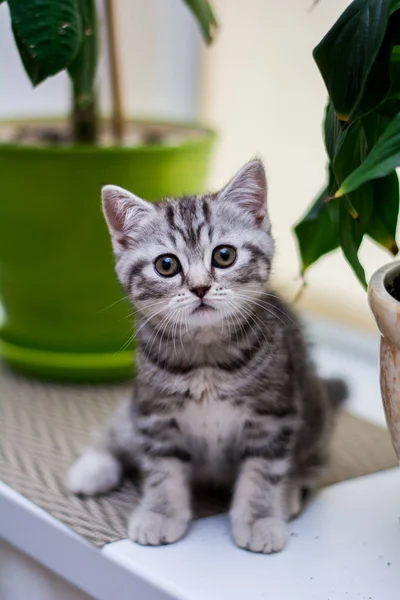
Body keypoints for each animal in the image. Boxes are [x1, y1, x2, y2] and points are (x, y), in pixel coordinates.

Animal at [67, 159, 346, 552]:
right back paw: (91, 468)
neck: (205, 358)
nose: (200, 287)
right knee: (118, 430)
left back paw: (291, 492)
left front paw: (259, 518)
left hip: (316, 417)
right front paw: (160, 512)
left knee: (311, 463)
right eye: (166, 265)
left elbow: (262, 473)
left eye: (224, 256)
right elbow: (162, 468)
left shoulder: (273, 416)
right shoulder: (155, 412)